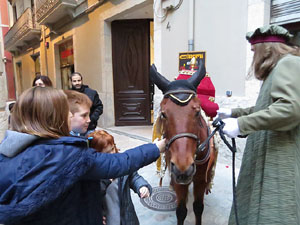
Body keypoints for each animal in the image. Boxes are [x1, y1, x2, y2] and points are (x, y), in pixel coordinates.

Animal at [151, 62, 217, 225]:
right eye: (163, 114)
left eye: (197, 112)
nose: (183, 167)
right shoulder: (178, 179)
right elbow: (181, 211)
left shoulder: (200, 179)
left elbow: (198, 207)